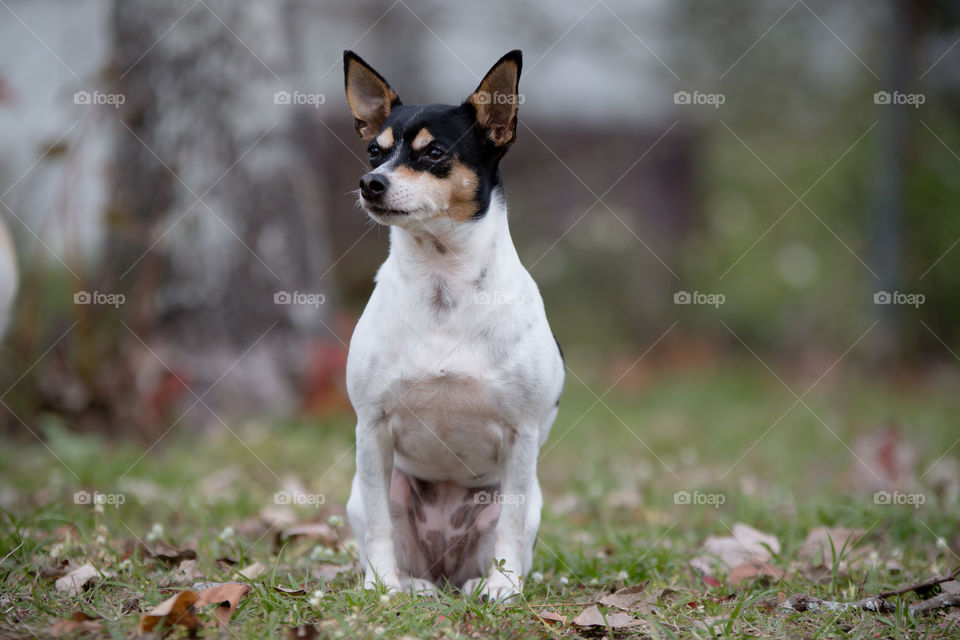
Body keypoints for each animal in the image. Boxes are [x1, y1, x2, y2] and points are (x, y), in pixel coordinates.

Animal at [344, 50, 568, 600]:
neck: (441, 281)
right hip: (375, 491)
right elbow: (378, 526)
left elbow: (510, 526)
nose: (370, 182)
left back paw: (477, 585)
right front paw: (380, 586)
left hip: (518, 501)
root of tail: (442, 568)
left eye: (435, 152)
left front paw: (503, 589)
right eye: (373, 151)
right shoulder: (371, 430)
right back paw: (411, 585)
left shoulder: (521, 435)